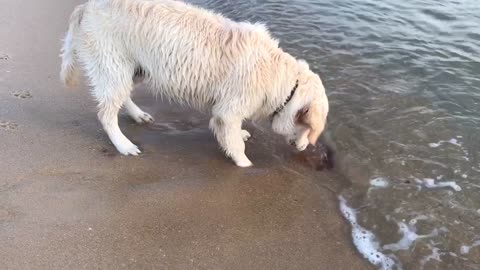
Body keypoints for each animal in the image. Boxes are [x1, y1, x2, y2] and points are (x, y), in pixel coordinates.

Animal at [59, 0, 330, 167]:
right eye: (311, 130)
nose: (305, 148)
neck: (284, 82)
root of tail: (86, 7)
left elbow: (231, 131)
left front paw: (241, 134)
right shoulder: (230, 109)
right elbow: (234, 143)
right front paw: (246, 164)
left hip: (133, 67)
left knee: (122, 95)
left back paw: (138, 115)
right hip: (112, 61)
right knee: (106, 114)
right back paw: (124, 145)